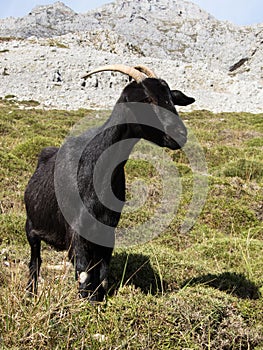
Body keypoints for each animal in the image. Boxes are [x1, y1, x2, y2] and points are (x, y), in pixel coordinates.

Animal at [24, 63, 195, 300]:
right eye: (147, 99)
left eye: (171, 98)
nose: (180, 133)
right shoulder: (77, 232)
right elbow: (84, 276)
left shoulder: (107, 231)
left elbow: (101, 275)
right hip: (31, 228)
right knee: (35, 261)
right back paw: (31, 294)